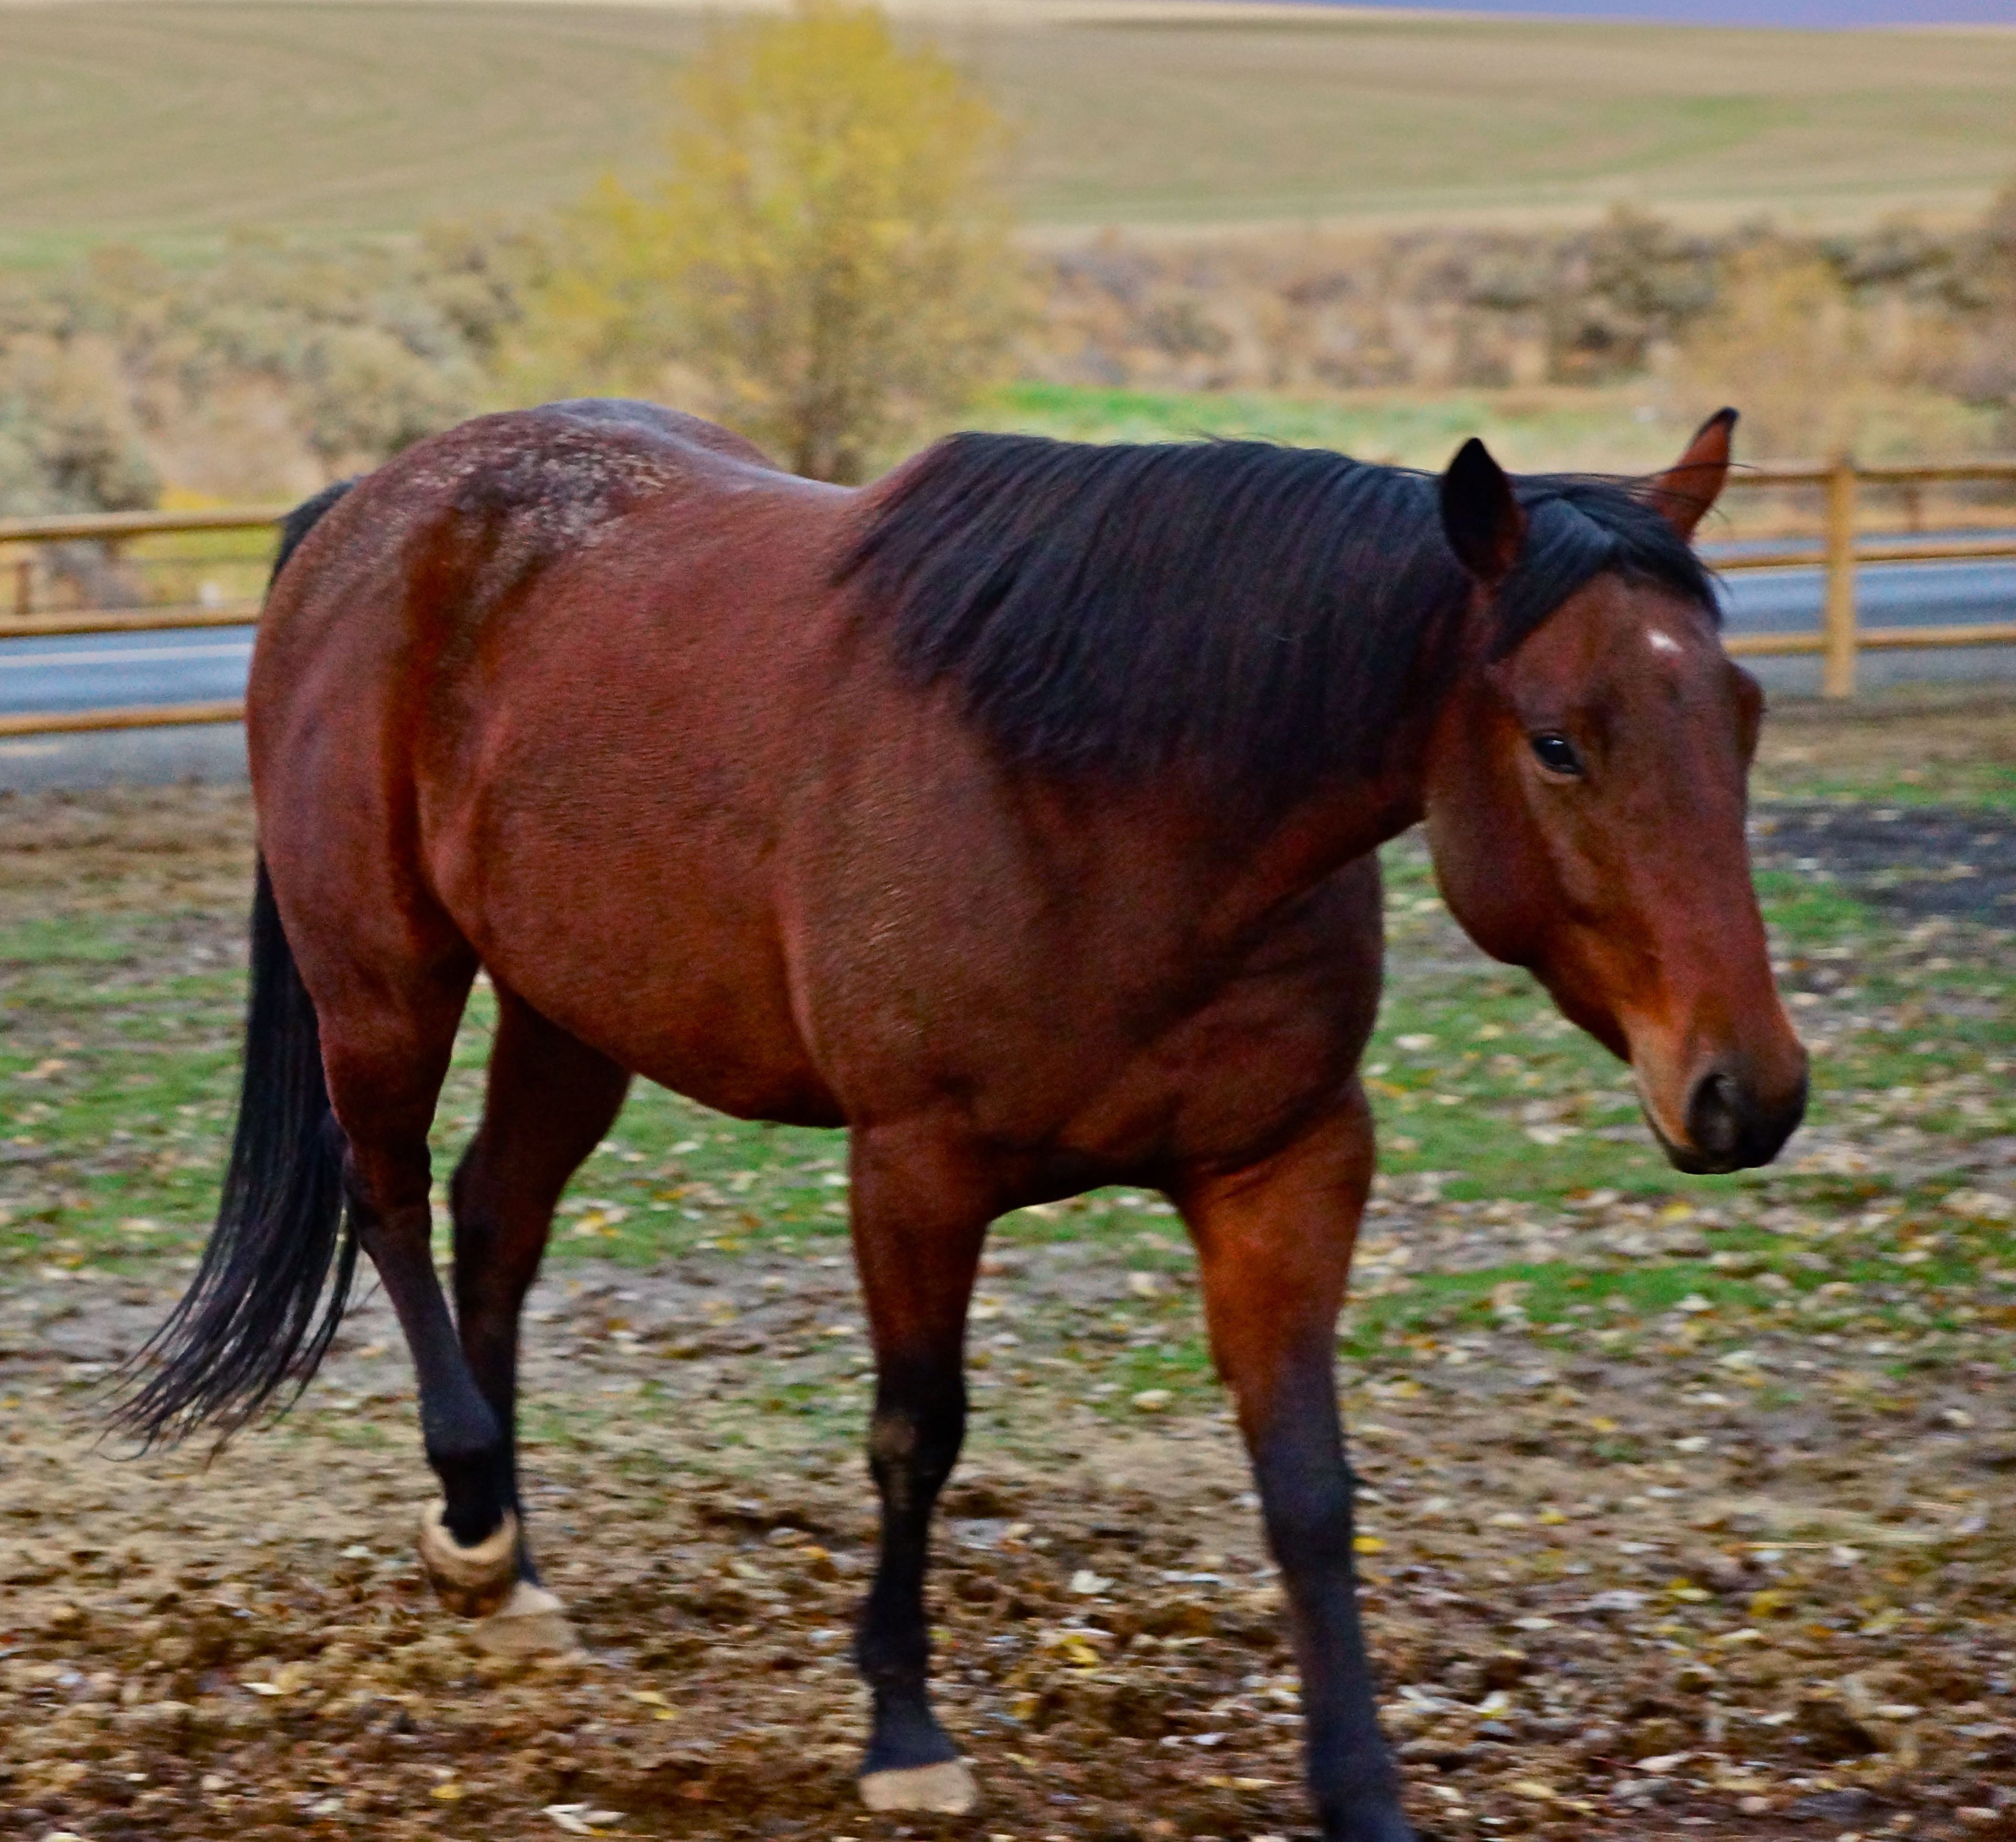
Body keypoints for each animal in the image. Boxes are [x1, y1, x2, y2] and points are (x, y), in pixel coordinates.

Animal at [118, 399, 1806, 1842]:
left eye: (1737, 715)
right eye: (1557, 740)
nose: (1748, 1089)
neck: (1115, 802)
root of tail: (375, 509)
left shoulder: (1285, 1166)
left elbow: (1310, 1486)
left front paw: (1360, 1787)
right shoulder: (916, 1166)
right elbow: (914, 1436)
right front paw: (904, 1732)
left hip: (570, 1007)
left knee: (497, 1217)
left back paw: (511, 1561)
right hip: (385, 977)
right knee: (392, 1195)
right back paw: (472, 1514)